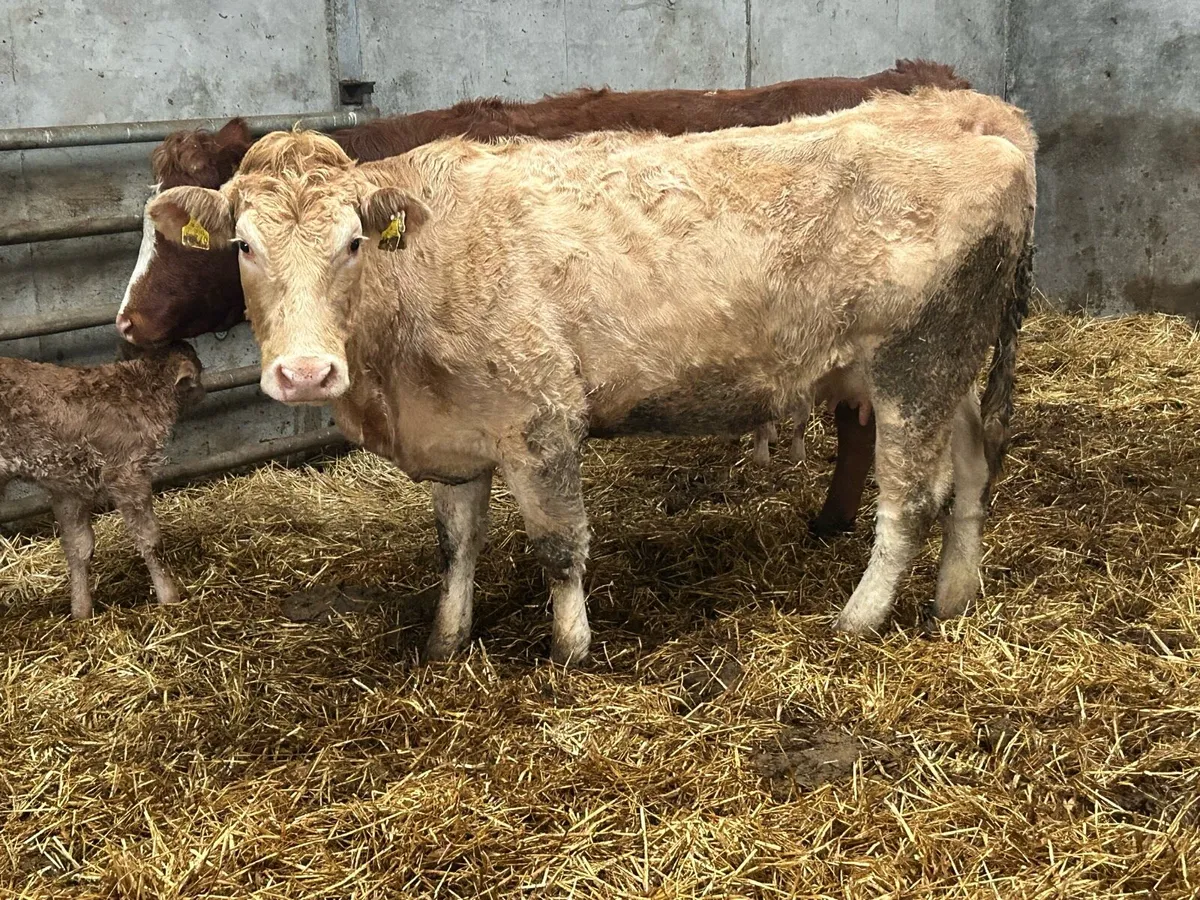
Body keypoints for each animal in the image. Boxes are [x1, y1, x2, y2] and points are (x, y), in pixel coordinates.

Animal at [0, 343, 205, 618]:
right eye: (198, 372)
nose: (203, 392)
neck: (139, 389)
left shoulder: (68, 488)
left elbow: (79, 546)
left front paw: (81, 611)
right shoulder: (128, 473)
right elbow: (149, 539)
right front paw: (169, 596)